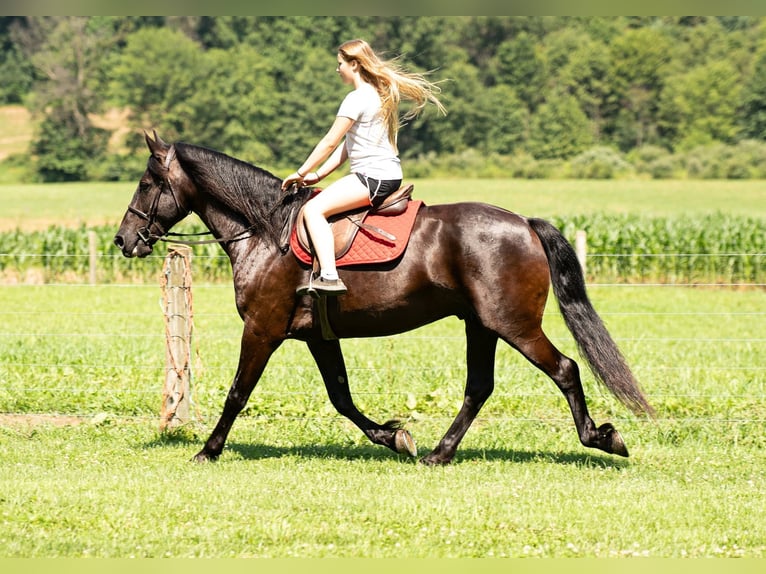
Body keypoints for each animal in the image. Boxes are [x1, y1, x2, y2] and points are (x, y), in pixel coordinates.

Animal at [114, 132, 654, 465]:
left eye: (146, 183)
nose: (123, 240)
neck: (267, 232)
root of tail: (522, 222)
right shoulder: (317, 337)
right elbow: (341, 398)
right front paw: (395, 437)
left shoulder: (263, 330)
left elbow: (237, 393)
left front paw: (208, 449)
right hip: (480, 326)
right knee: (479, 388)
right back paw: (439, 453)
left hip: (513, 325)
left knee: (564, 369)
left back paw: (601, 437)